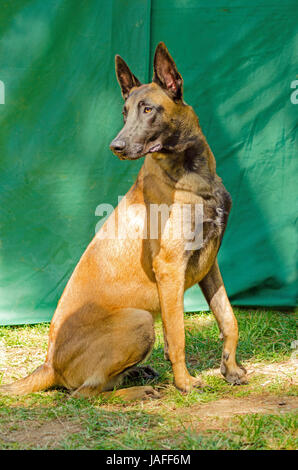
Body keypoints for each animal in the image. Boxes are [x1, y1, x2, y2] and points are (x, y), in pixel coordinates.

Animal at [0, 42, 247, 398]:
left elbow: (228, 318)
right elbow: (177, 335)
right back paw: (136, 391)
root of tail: (49, 364)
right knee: (84, 394)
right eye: (124, 112)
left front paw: (230, 369)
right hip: (139, 320)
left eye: (148, 109)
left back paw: (137, 375)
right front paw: (185, 382)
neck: (191, 174)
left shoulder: (209, 263)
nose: (115, 146)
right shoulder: (170, 268)